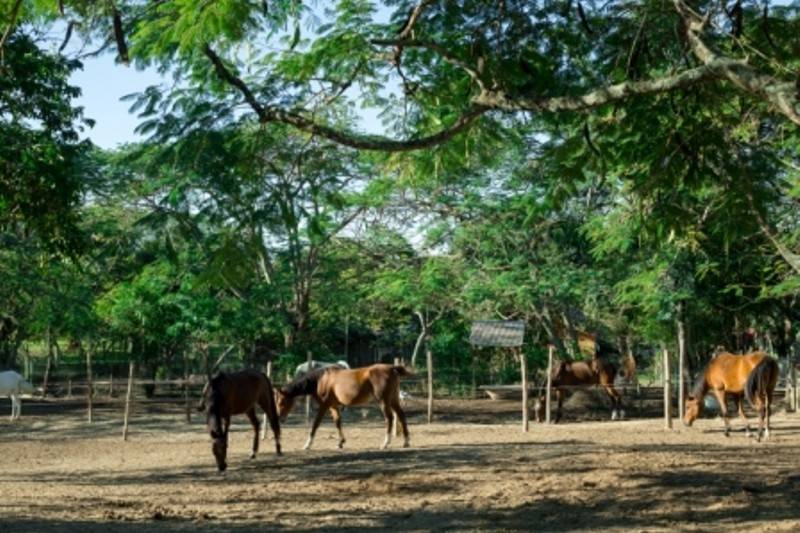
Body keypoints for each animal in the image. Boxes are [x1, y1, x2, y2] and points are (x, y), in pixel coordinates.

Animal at [276, 362, 412, 448]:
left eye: (282, 402)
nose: (280, 418)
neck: (321, 380)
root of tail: (391, 368)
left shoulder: (324, 406)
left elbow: (315, 424)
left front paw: (307, 445)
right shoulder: (333, 406)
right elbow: (338, 422)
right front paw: (340, 442)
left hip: (383, 401)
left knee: (390, 418)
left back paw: (385, 443)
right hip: (393, 400)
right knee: (401, 415)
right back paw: (406, 442)